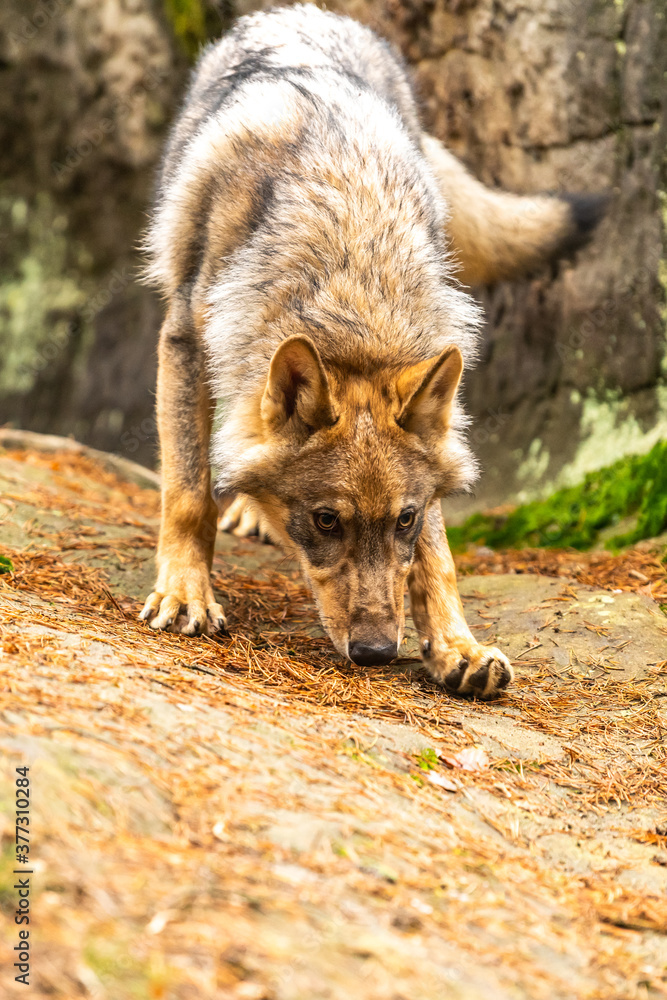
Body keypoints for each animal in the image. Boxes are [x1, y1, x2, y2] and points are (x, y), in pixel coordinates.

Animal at [140, 4, 604, 698]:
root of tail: (306, 12)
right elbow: (189, 491)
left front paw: (458, 647)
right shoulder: (185, 342)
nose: (378, 652)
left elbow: (437, 560)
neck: (351, 273)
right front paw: (185, 593)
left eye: (403, 520)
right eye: (326, 521)